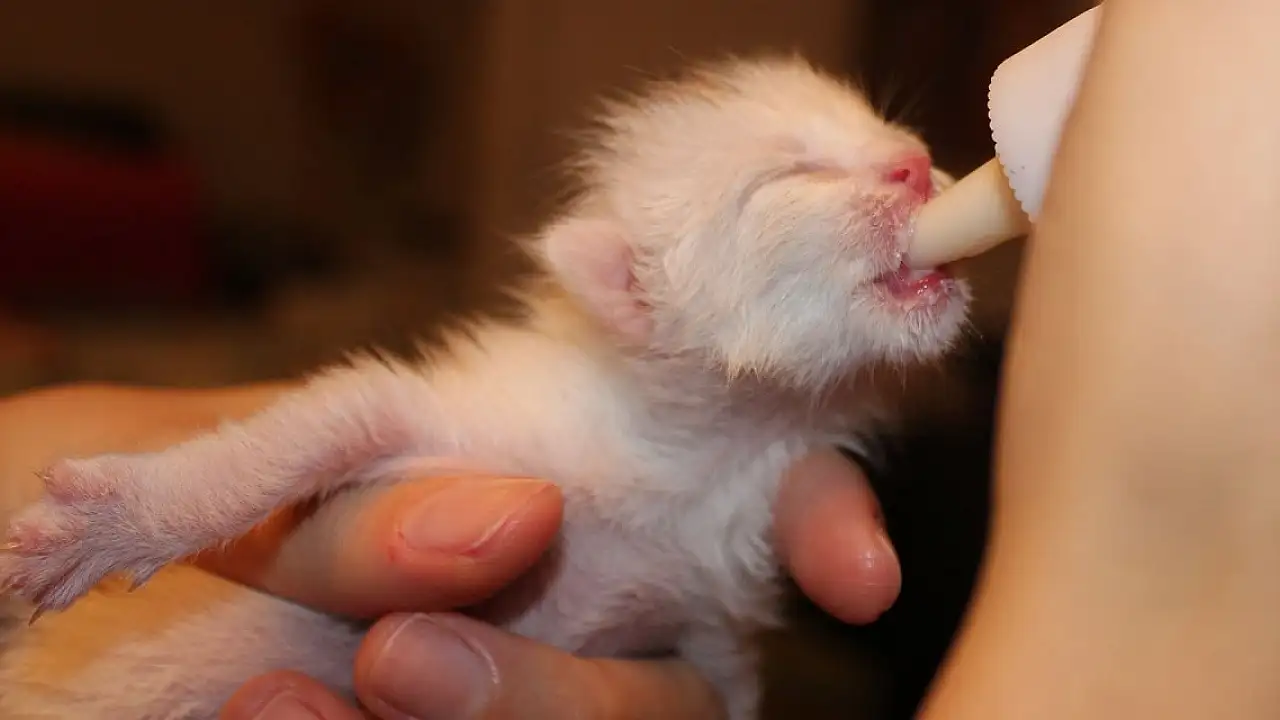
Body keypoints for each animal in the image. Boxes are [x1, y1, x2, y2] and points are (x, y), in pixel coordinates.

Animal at [0, 54, 971, 719]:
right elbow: (314, 429)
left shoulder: (705, 634)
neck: (711, 450)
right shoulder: (461, 435)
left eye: (885, 131)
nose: (917, 165)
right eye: (788, 177)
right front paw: (114, 522)